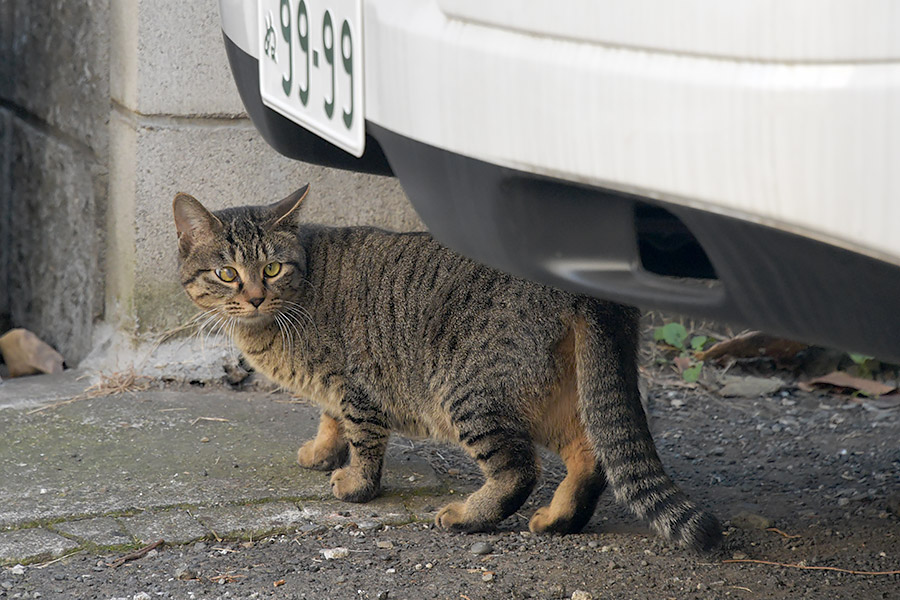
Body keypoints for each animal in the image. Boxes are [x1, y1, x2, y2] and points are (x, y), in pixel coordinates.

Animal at [174, 185, 724, 552]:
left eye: (271, 268)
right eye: (227, 273)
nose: (253, 295)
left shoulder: (356, 386)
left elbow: (363, 438)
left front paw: (356, 484)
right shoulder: (334, 389)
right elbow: (330, 420)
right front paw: (323, 453)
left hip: (470, 393)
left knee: (520, 468)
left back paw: (466, 516)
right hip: (556, 391)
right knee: (590, 454)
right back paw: (557, 520)